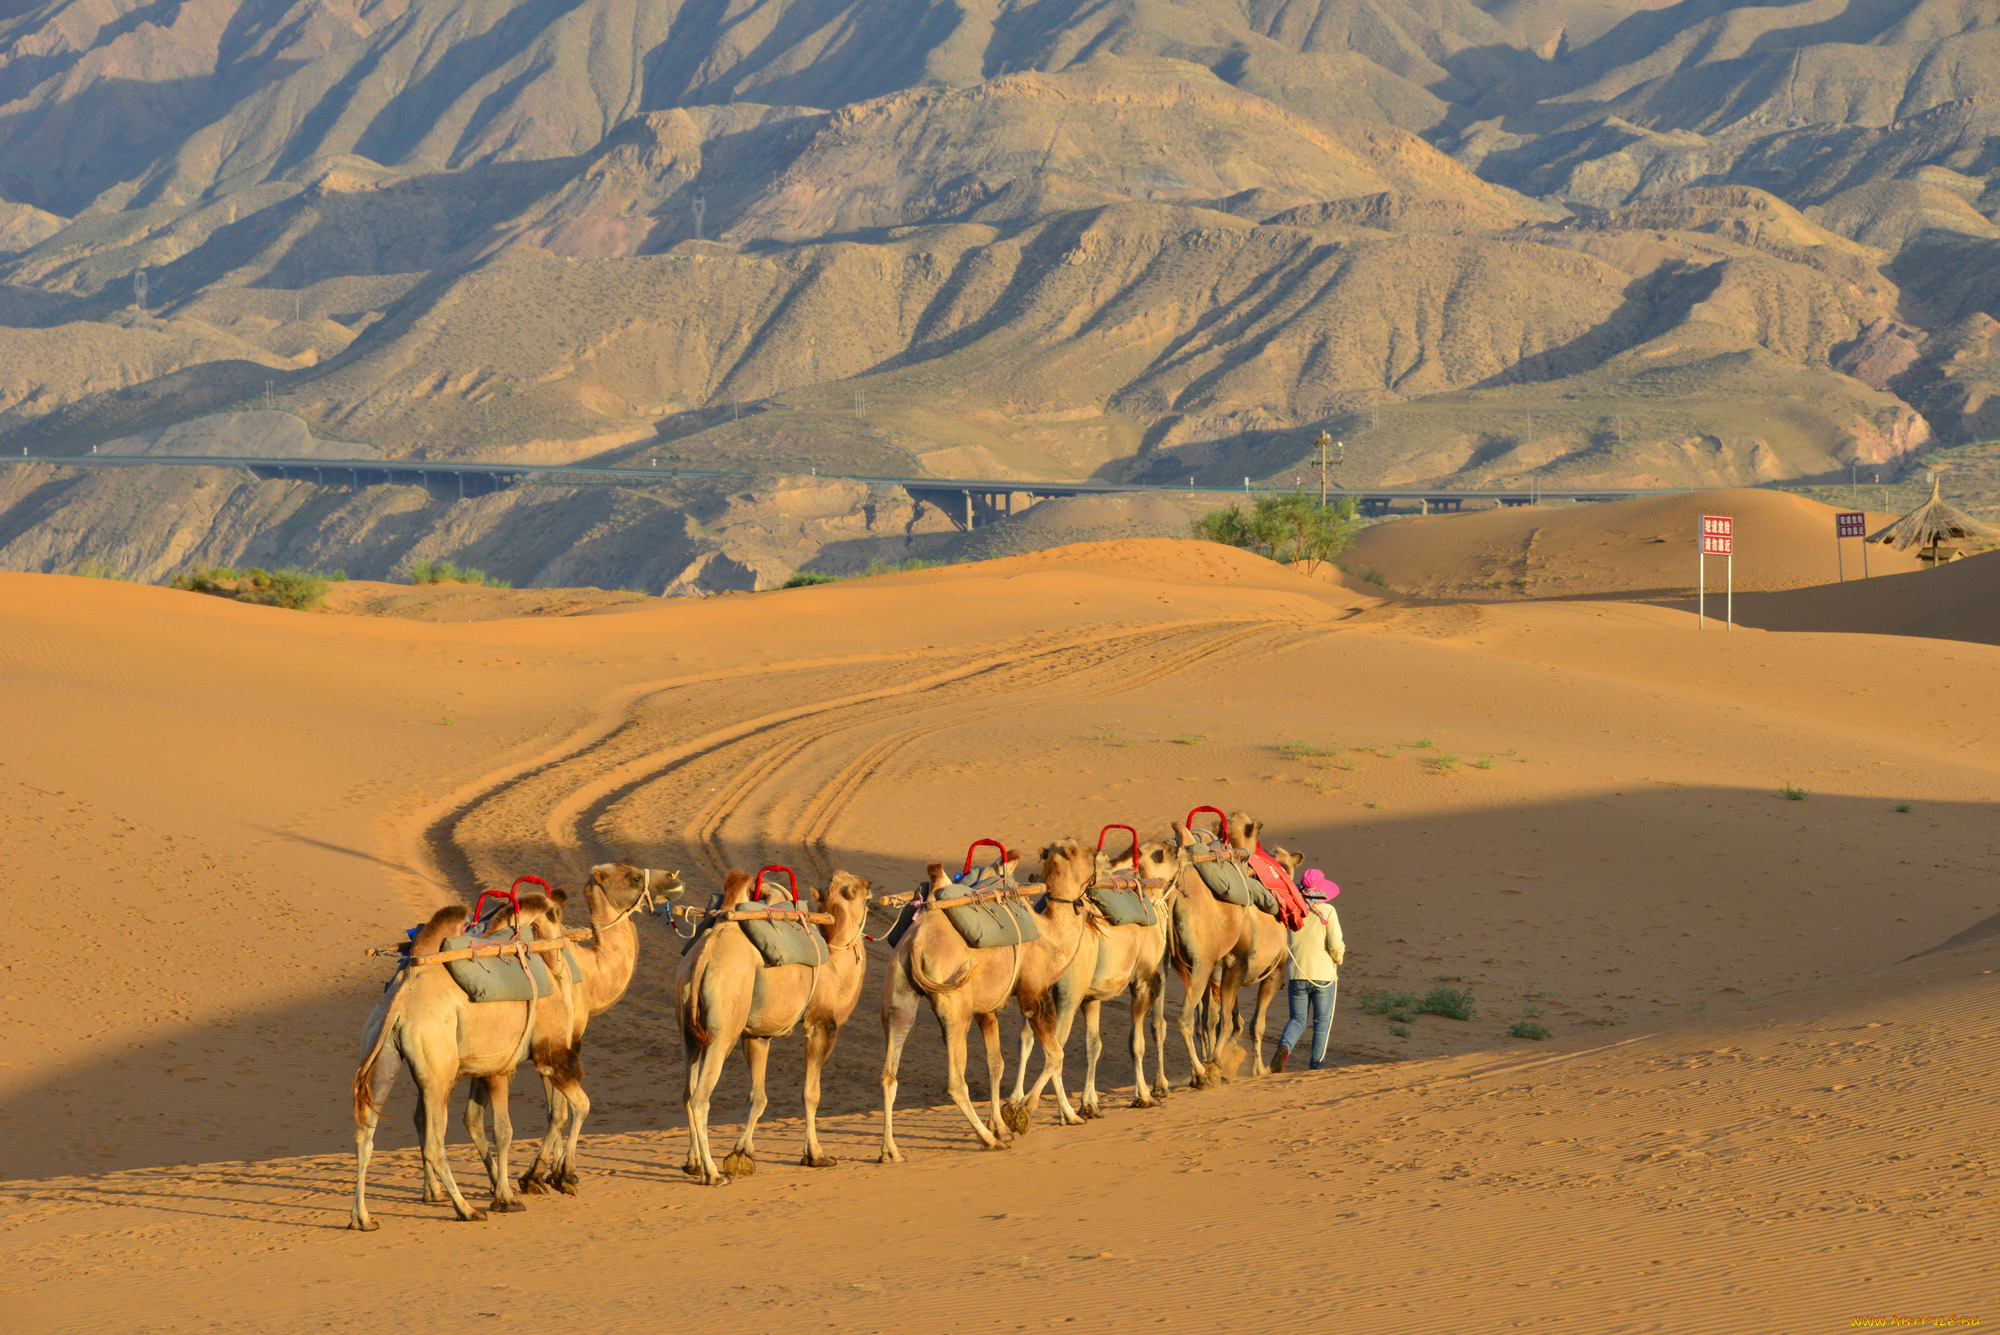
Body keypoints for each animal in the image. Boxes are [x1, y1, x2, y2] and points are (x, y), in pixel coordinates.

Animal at [346, 891, 572, 1223]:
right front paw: (506, 1198)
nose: (559, 956)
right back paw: (466, 1209)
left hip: (381, 1052)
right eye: (555, 915)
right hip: (438, 1073)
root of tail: (400, 1000)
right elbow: (504, 1130)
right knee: (433, 1144)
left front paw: (504, 1191)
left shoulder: (484, 1067)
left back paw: (362, 1218)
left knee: (365, 1133)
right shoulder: (502, 1066)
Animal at [676, 871, 872, 1183]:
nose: (872, 885)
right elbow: (811, 1094)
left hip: (688, 1023)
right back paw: (713, 1174)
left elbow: (757, 1096)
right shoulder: (821, 1025)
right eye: (864, 894)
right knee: (699, 1099)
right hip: (723, 1028)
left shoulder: (758, 1033)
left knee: (686, 1091)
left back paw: (693, 1163)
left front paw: (742, 1152)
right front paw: (816, 1156)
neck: (834, 959)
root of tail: (704, 955)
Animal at [880, 839, 1096, 1159]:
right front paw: (1021, 1112)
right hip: (955, 1005)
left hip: (899, 990)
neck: (1050, 939)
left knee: (890, 1070)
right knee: (956, 1082)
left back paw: (890, 1151)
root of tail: (916, 942)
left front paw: (1005, 1124)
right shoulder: (1034, 994)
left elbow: (996, 1065)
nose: (1101, 856)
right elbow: (1056, 1053)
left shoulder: (987, 1009)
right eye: (1087, 853)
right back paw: (987, 1140)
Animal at [1000, 835, 1168, 1127]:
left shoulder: (1092, 996)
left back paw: (1016, 1100)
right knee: (1056, 1047)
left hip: (1037, 989)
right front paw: (1144, 1096)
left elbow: (1094, 1044)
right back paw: (1050, 1110)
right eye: (1170, 852)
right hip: (1069, 993)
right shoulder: (1142, 981)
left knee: (1028, 1039)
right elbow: (1136, 1042)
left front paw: (1090, 1104)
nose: (1102, 858)